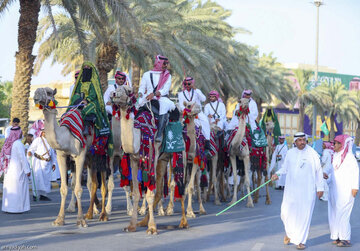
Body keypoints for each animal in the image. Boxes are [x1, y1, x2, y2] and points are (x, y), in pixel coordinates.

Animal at [34, 87, 112, 226]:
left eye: (49, 93)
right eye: (38, 91)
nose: (36, 95)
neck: (66, 135)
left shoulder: (79, 155)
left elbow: (78, 189)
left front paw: (80, 220)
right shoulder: (62, 156)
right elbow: (64, 188)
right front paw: (59, 219)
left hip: (102, 154)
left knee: (103, 185)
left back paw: (103, 214)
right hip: (90, 157)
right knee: (92, 183)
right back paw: (91, 213)